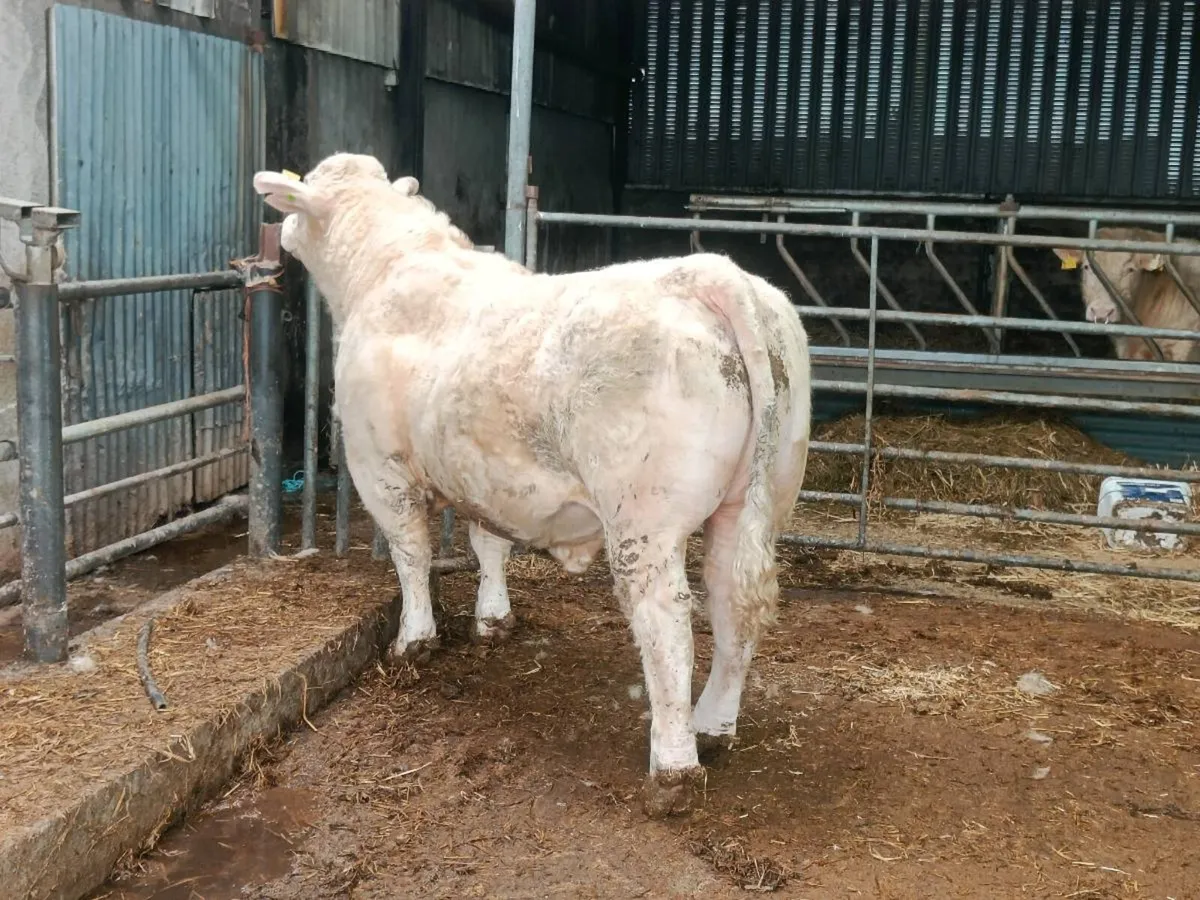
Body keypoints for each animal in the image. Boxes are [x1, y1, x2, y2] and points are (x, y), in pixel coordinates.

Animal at [253, 153, 812, 818]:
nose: (280, 233)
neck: (384, 270)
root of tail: (712, 274)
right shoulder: (483, 471)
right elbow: (488, 542)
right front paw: (494, 619)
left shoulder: (378, 467)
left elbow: (411, 555)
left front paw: (414, 641)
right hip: (756, 502)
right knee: (733, 603)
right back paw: (714, 724)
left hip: (644, 520)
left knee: (667, 619)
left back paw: (673, 763)